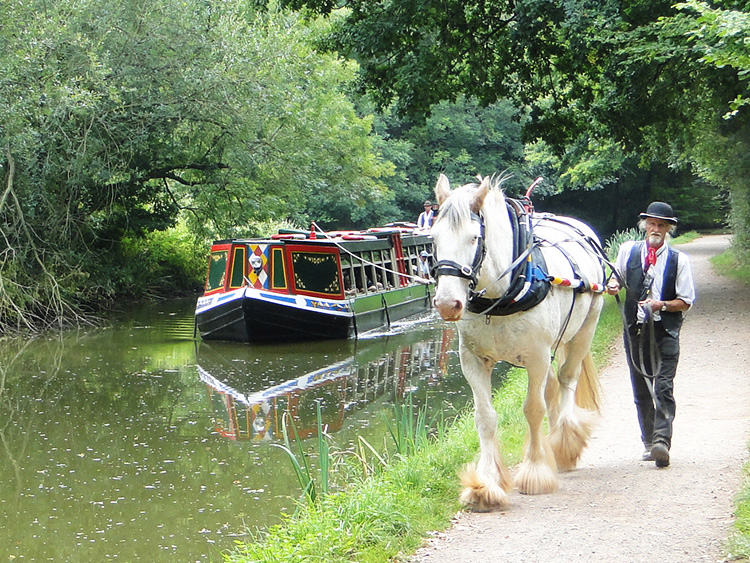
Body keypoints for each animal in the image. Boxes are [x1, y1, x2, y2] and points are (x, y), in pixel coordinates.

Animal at [434, 175, 612, 512]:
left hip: (584, 330)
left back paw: (565, 443)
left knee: (566, 379)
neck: (504, 293)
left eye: (474, 238)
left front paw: (535, 471)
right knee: (553, 386)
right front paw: (486, 484)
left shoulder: (537, 356)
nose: (448, 304)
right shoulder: (471, 359)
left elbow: (532, 409)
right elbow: (485, 417)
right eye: (433, 237)